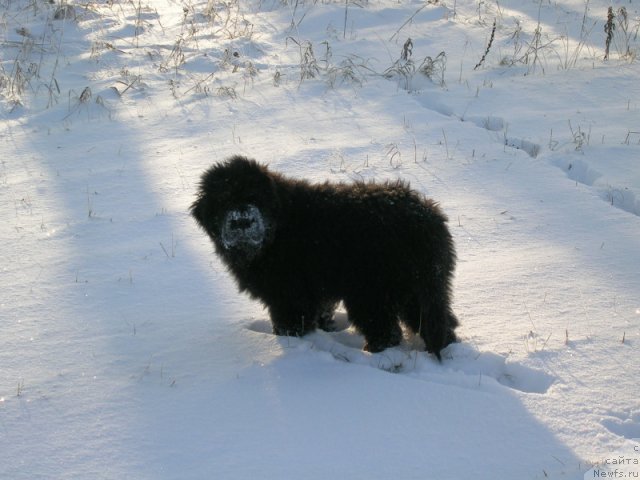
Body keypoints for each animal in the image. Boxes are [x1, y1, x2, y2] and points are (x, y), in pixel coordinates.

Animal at [191, 157, 460, 360]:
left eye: (254, 197)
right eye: (224, 200)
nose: (242, 221)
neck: (277, 229)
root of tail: (426, 219)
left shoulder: (288, 294)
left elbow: (290, 322)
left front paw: (290, 341)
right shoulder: (314, 292)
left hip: (371, 291)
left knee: (386, 330)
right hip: (418, 288)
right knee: (437, 322)